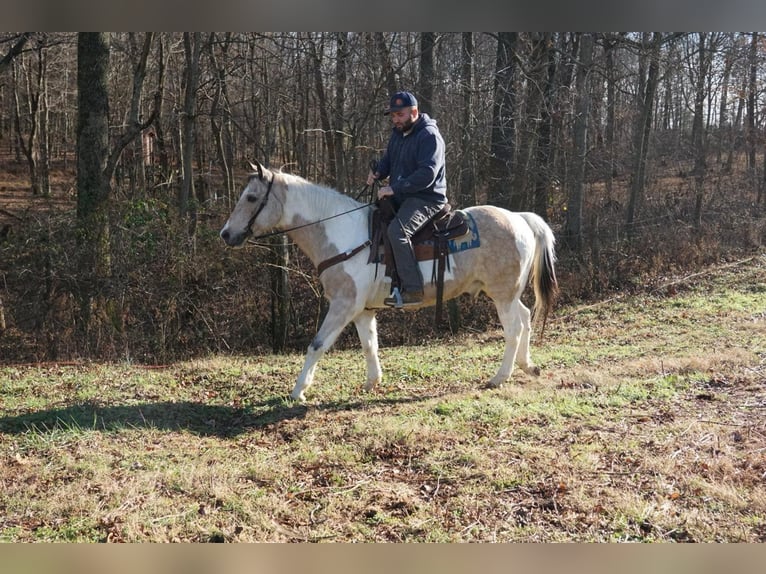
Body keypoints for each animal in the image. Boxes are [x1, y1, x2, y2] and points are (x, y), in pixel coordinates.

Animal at [220, 161, 560, 404]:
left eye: (251, 197)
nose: (226, 234)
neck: (342, 234)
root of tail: (520, 218)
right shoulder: (362, 310)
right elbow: (369, 344)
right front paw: (372, 381)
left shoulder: (343, 305)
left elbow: (317, 344)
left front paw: (298, 391)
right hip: (508, 294)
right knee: (526, 318)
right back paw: (528, 365)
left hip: (502, 295)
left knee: (514, 329)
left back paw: (499, 377)